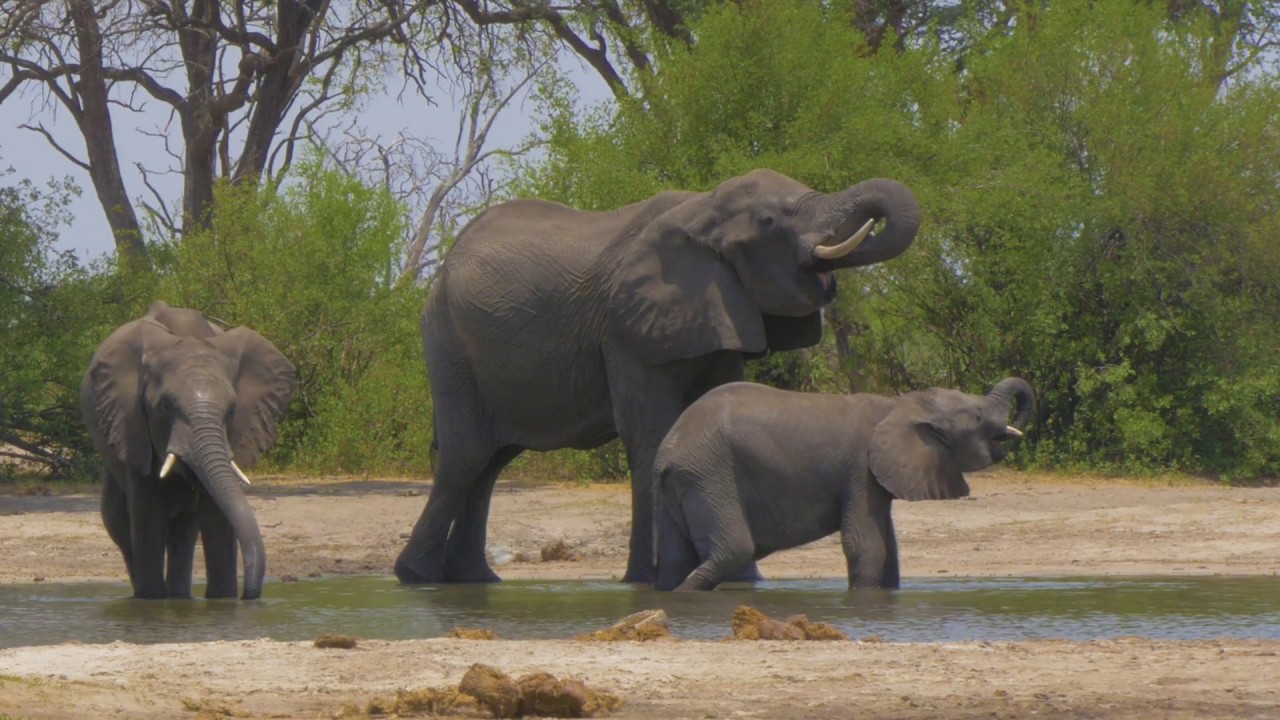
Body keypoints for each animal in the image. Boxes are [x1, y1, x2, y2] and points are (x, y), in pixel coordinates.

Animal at [80, 301, 296, 600]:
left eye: (231, 410)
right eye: (165, 407)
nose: (248, 594)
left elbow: (217, 518)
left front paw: (223, 599)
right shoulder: (133, 426)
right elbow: (147, 517)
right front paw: (153, 600)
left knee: (184, 530)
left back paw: (180, 597)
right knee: (120, 525)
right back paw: (146, 595)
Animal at [394, 168, 922, 585]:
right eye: (770, 221)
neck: (703, 208)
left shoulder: (720, 309)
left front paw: (743, 583)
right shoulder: (626, 329)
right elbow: (651, 430)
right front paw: (649, 580)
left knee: (490, 463)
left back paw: (474, 580)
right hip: (448, 342)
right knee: (465, 458)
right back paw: (416, 578)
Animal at [652, 377, 1034, 591]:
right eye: (979, 417)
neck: (902, 404)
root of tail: (668, 448)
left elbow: (888, 546)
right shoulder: (860, 468)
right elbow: (865, 543)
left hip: (684, 481)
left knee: (674, 558)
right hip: (710, 473)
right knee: (734, 550)